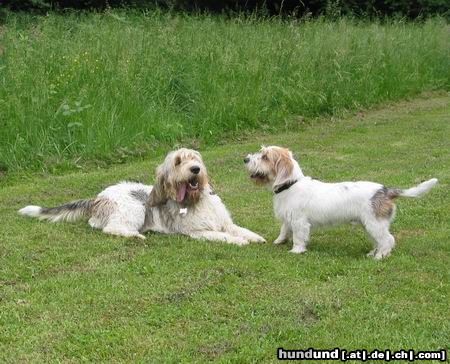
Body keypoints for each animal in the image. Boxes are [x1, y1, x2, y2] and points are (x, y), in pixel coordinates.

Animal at [21, 147, 266, 245]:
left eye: (195, 158)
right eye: (178, 162)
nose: (195, 169)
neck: (196, 201)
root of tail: (97, 197)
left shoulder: (225, 222)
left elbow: (239, 229)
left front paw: (255, 237)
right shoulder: (197, 232)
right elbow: (222, 236)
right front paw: (239, 241)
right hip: (134, 208)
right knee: (111, 228)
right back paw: (134, 235)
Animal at [244, 145, 438, 258]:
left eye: (265, 157)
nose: (245, 159)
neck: (290, 184)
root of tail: (385, 190)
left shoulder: (299, 222)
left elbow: (298, 237)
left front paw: (296, 251)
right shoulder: (288, 218)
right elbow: (284, 230)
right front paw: (279, 241)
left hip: (375, 224)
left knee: (388, 240)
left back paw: (379, 257)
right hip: (370, 226)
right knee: (380, 241)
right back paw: (372, 253)